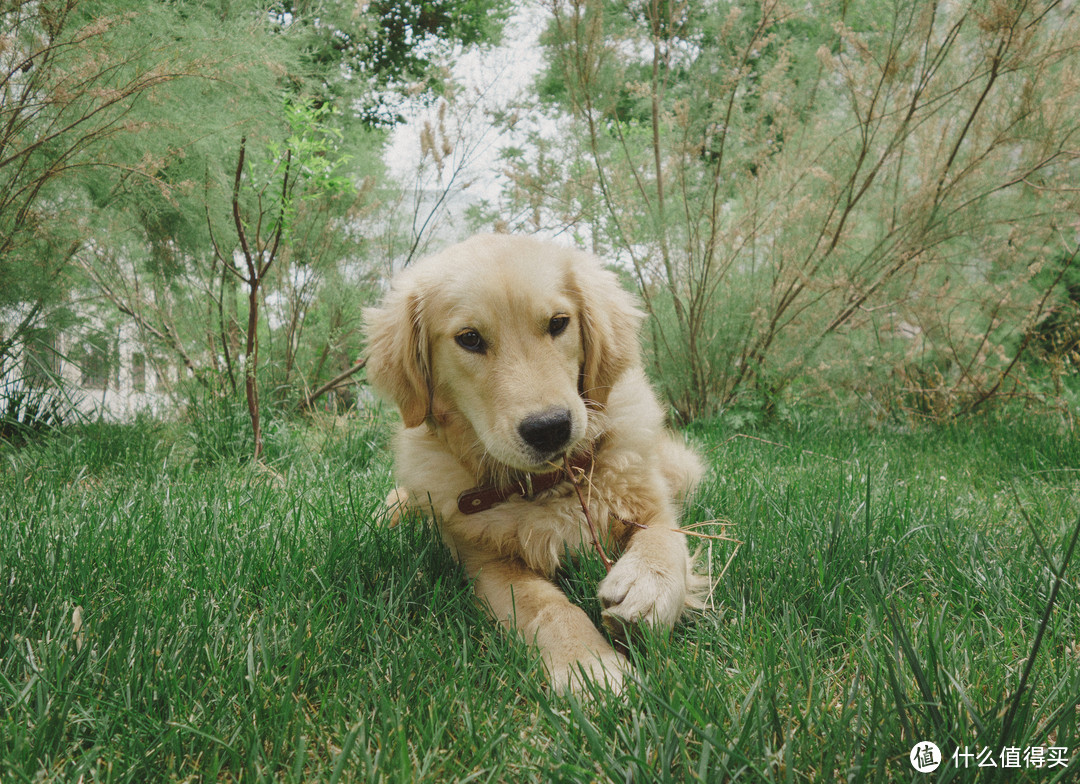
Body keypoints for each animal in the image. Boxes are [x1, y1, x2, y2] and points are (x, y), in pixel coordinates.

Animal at [367, 233, 708, 695]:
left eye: (558, 323)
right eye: (469, 338)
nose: (549, 429)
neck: (546, 485)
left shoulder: (648, 499)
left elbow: (665, 536)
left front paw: (647, 588)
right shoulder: (484, 561)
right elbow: (543, 604)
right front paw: (591, 667)